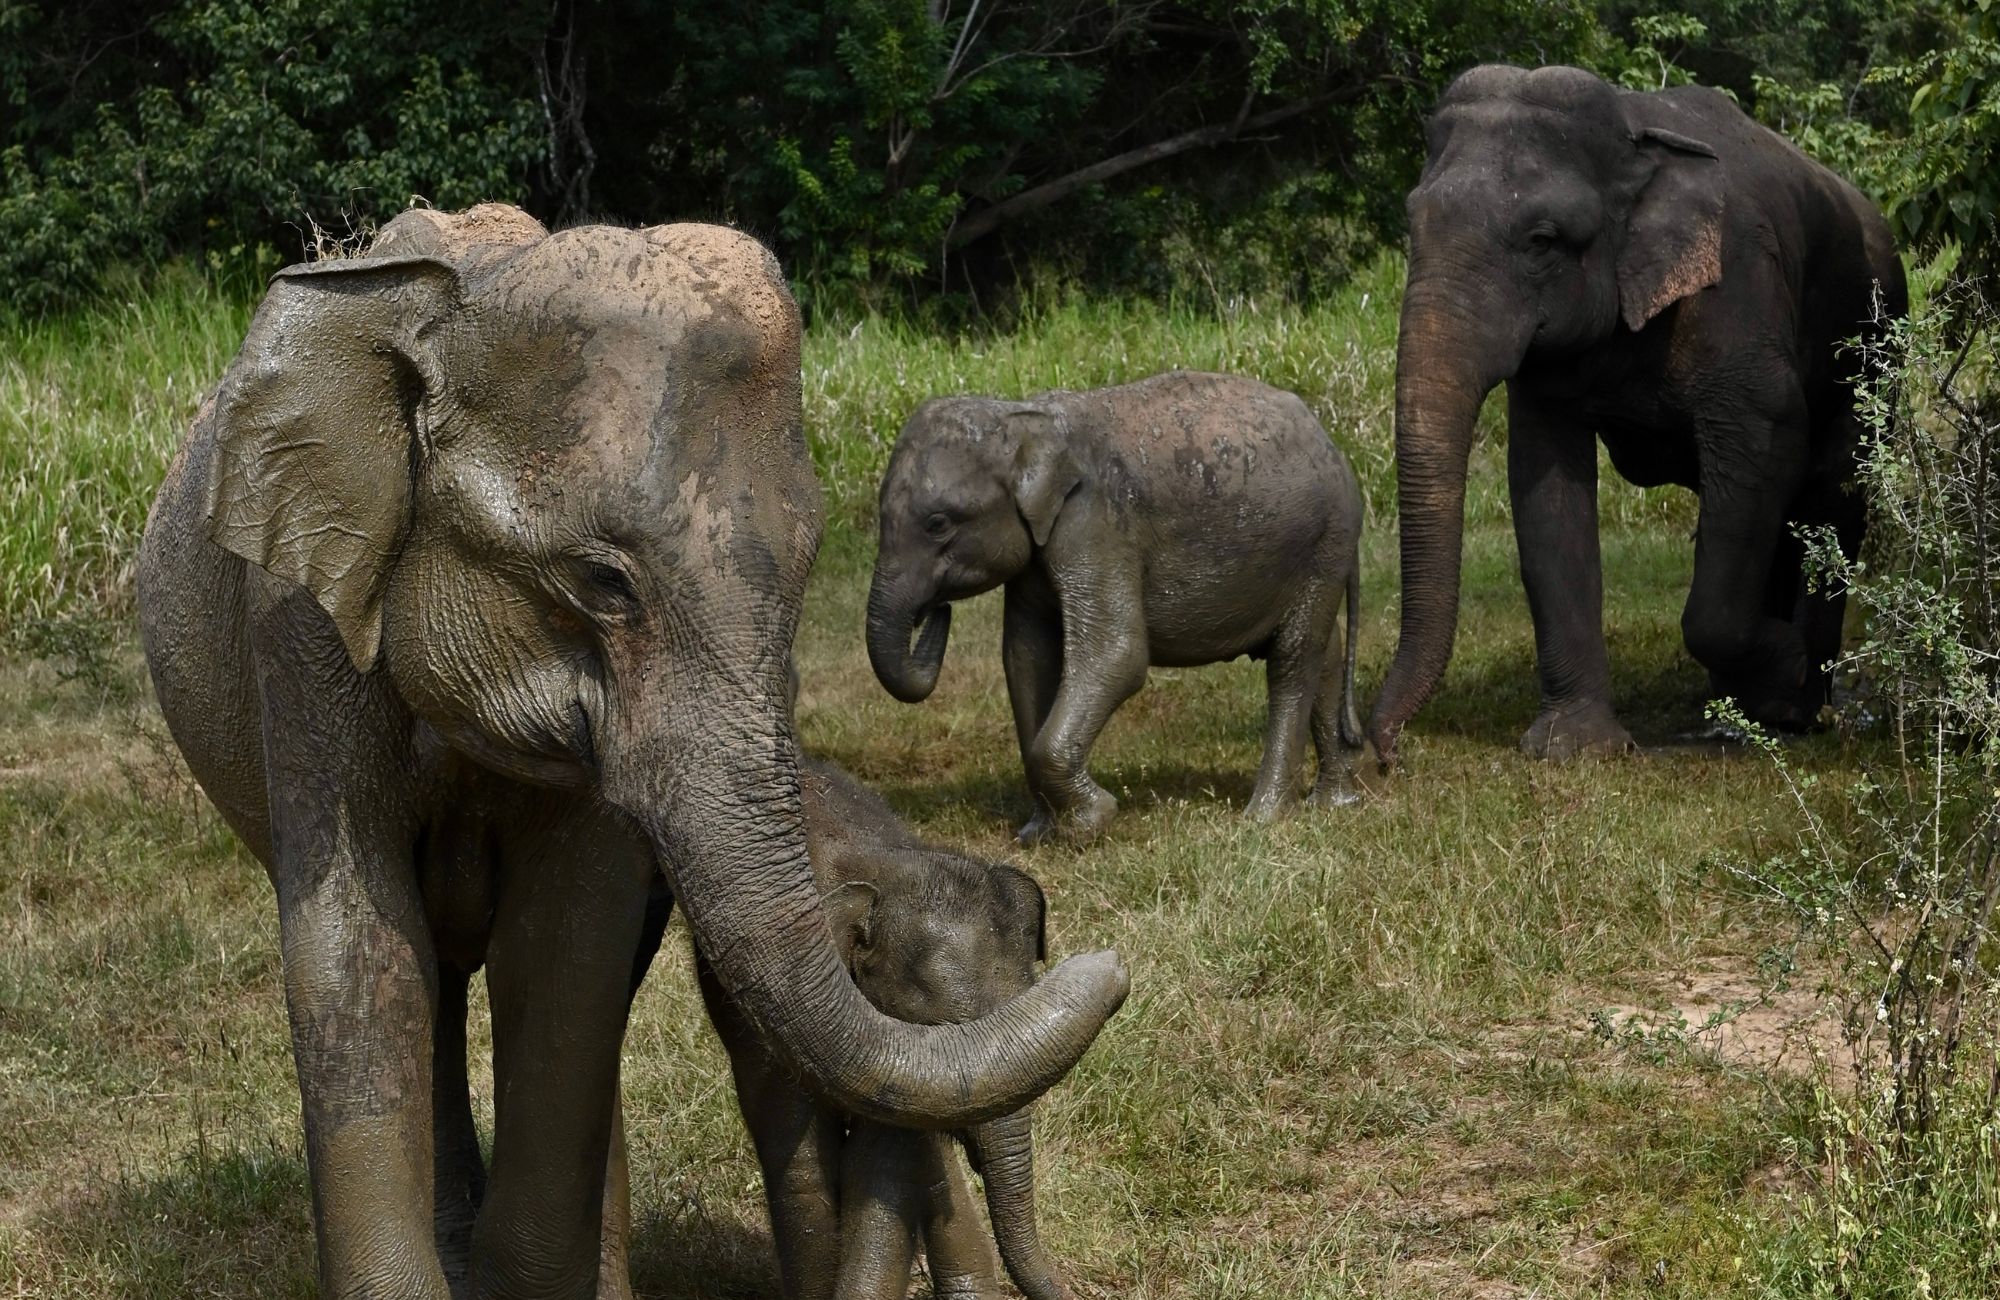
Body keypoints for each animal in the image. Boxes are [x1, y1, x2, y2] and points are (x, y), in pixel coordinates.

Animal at [135, 202, 1128, 1300]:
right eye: (604, 582)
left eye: (806, 568)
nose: (1105, 958)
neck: (469, 294)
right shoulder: (301, 621)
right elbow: (356, 944)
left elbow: (569, 952)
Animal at [866, 370, 1365, 842]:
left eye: (937, 523)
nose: (936, 610)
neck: (1021, 418)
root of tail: (1332, 445)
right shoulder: (1039, 554)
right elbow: (1026, 659)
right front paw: (1039, 835)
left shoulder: (1097, 523)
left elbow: (1116, 655)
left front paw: (1094, 822)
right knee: (1324, 653)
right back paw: (1334, 804)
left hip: (1325, 541)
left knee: (1293, 658)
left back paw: (1263, 818)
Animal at [1366, 64, 1907, 766]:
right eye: (1413, 223)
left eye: (1542, 241)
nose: (1384, 752)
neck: (1633, 136)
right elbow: (1545, 485)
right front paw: (1575, 750)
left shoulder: (1738, 286)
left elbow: (1766, 438)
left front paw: (1785, 667)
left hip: (1876, 345)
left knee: (1832, 490)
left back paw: (1792, 705)